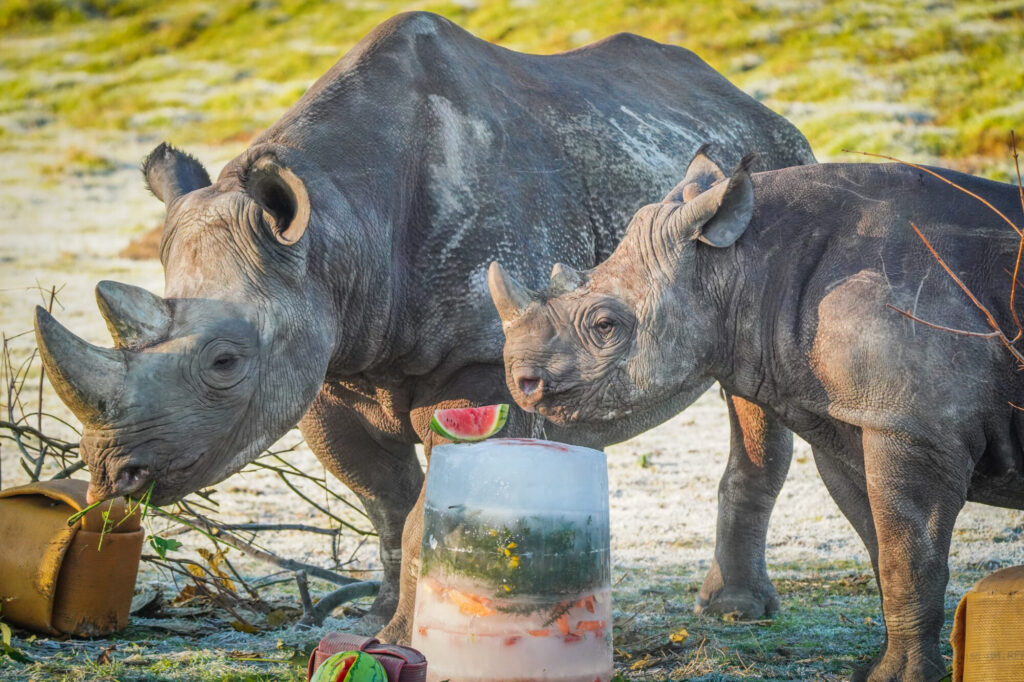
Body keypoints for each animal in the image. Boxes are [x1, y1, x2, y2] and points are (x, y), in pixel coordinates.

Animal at [34, 12, 815, 642]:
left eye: (225, 363)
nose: (113, 473)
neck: (336, 230)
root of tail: (755, 108)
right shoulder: (328, 363)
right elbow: (387, 502)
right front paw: (378, 618)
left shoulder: (485, 363)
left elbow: (424, 509)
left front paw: (403, 631)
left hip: (769, 180)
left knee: (753, 397)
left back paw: (734, 613)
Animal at [490, 150, 1024, 680]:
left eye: (605, 325)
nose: (521, 381)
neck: (742, 265)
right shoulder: (855, 419)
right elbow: (884, 548)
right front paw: (876, 668)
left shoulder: (915, 428)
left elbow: (909, 559)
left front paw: (904, 677)